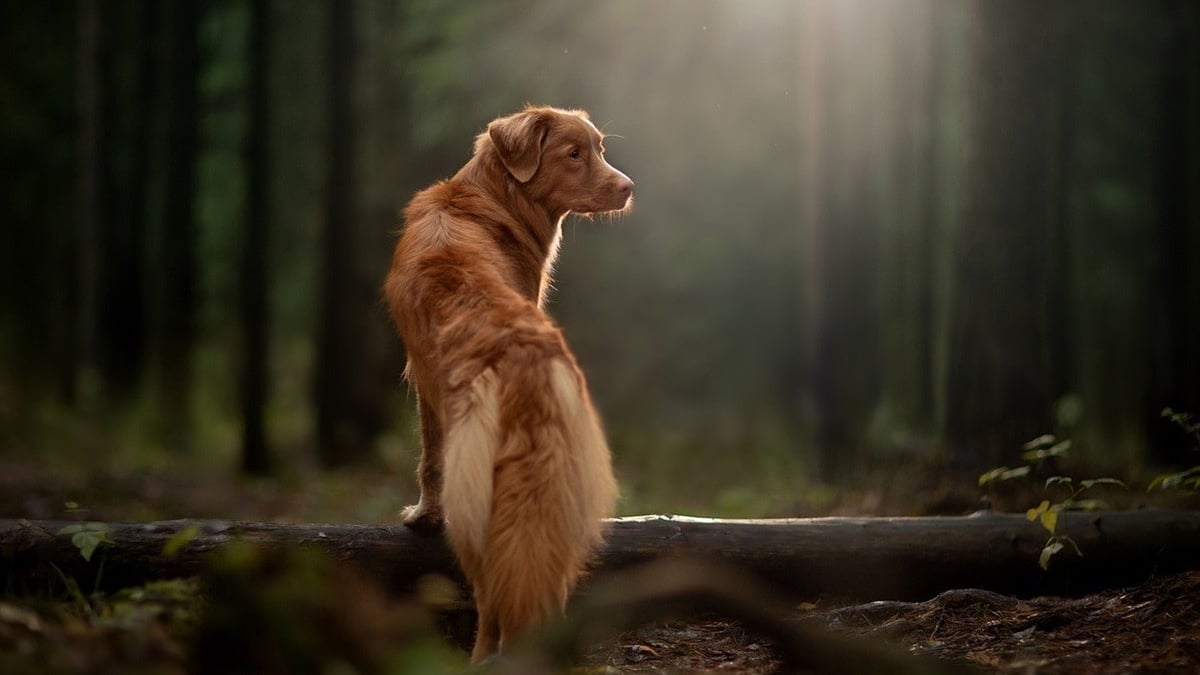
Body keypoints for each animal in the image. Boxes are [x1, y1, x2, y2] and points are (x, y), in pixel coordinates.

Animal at [384, 103, 633, 658]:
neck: (487, 197)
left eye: (600, 148)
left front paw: (421, 516)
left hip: (478, 506)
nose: (629, 187)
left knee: (493, 597)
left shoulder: (424, 386)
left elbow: (428, 461)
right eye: (574, 153)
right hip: (556, 499)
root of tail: (527, 360)